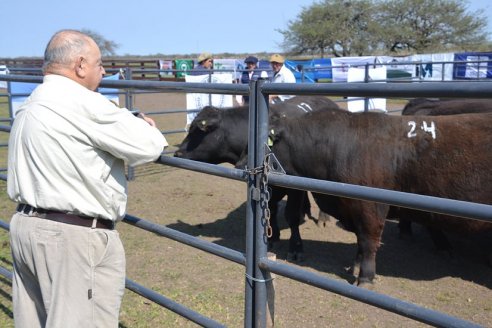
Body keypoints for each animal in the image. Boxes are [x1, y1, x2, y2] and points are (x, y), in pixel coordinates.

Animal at [174, 95, 342, 256]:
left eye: (197, 130)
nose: (177, 153)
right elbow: (271, 210)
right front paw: (272, 237)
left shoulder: (293, 187)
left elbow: (291, 215)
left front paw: (296, 247)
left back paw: (323, 218)